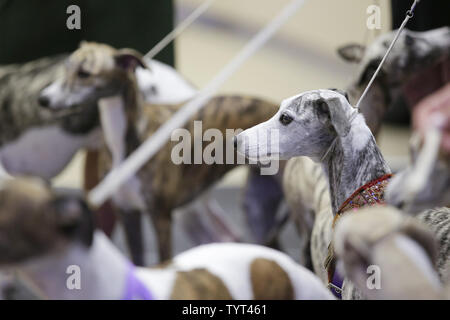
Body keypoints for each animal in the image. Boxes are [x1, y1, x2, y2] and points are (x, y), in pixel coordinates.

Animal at [39, 42, 284, 262]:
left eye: (84, 73)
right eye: (66, 68)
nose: (43, 99)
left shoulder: (161, 217)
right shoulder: (127, 212)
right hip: (255, 206)